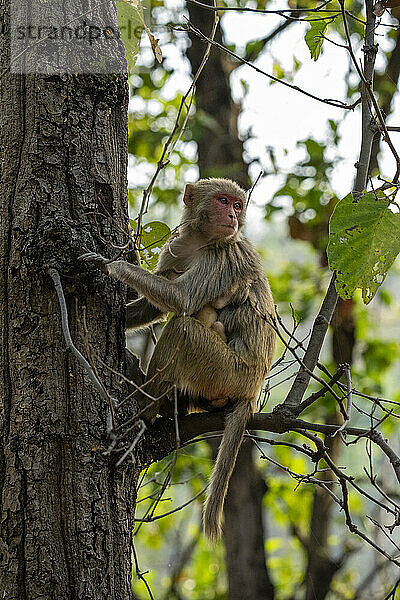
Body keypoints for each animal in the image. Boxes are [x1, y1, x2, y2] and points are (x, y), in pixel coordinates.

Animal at [81, 176, 276, 540]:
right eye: (223, 201)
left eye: (237, 205)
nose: (232, 216)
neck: (203, 240)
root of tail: (252, 391)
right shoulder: (177, 247)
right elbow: (156, 306)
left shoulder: (224, 255)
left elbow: (183, 300)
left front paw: (113, 265)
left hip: (227, 371)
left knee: (183, 329)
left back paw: (144, 406)